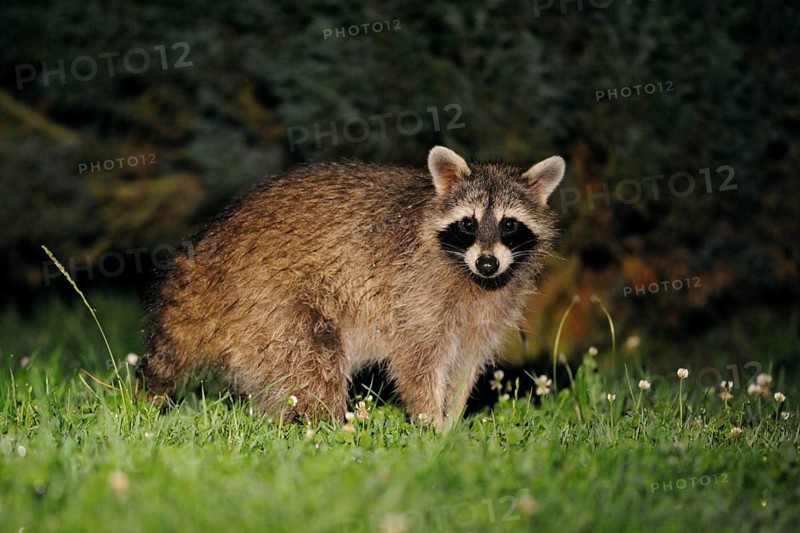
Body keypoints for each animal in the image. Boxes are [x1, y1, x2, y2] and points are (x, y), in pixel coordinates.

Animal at [136, 146, 565, 428]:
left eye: (509, 225)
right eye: (468, 224)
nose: (488, 263)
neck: (470, 274)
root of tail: (203, 264)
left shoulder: (489, 309)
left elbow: (466, 364)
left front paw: (451, 423)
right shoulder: (415, 292)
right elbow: (418, 363)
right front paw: (430, 425)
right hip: (270, 301)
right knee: (313, 364)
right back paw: (326, 428)